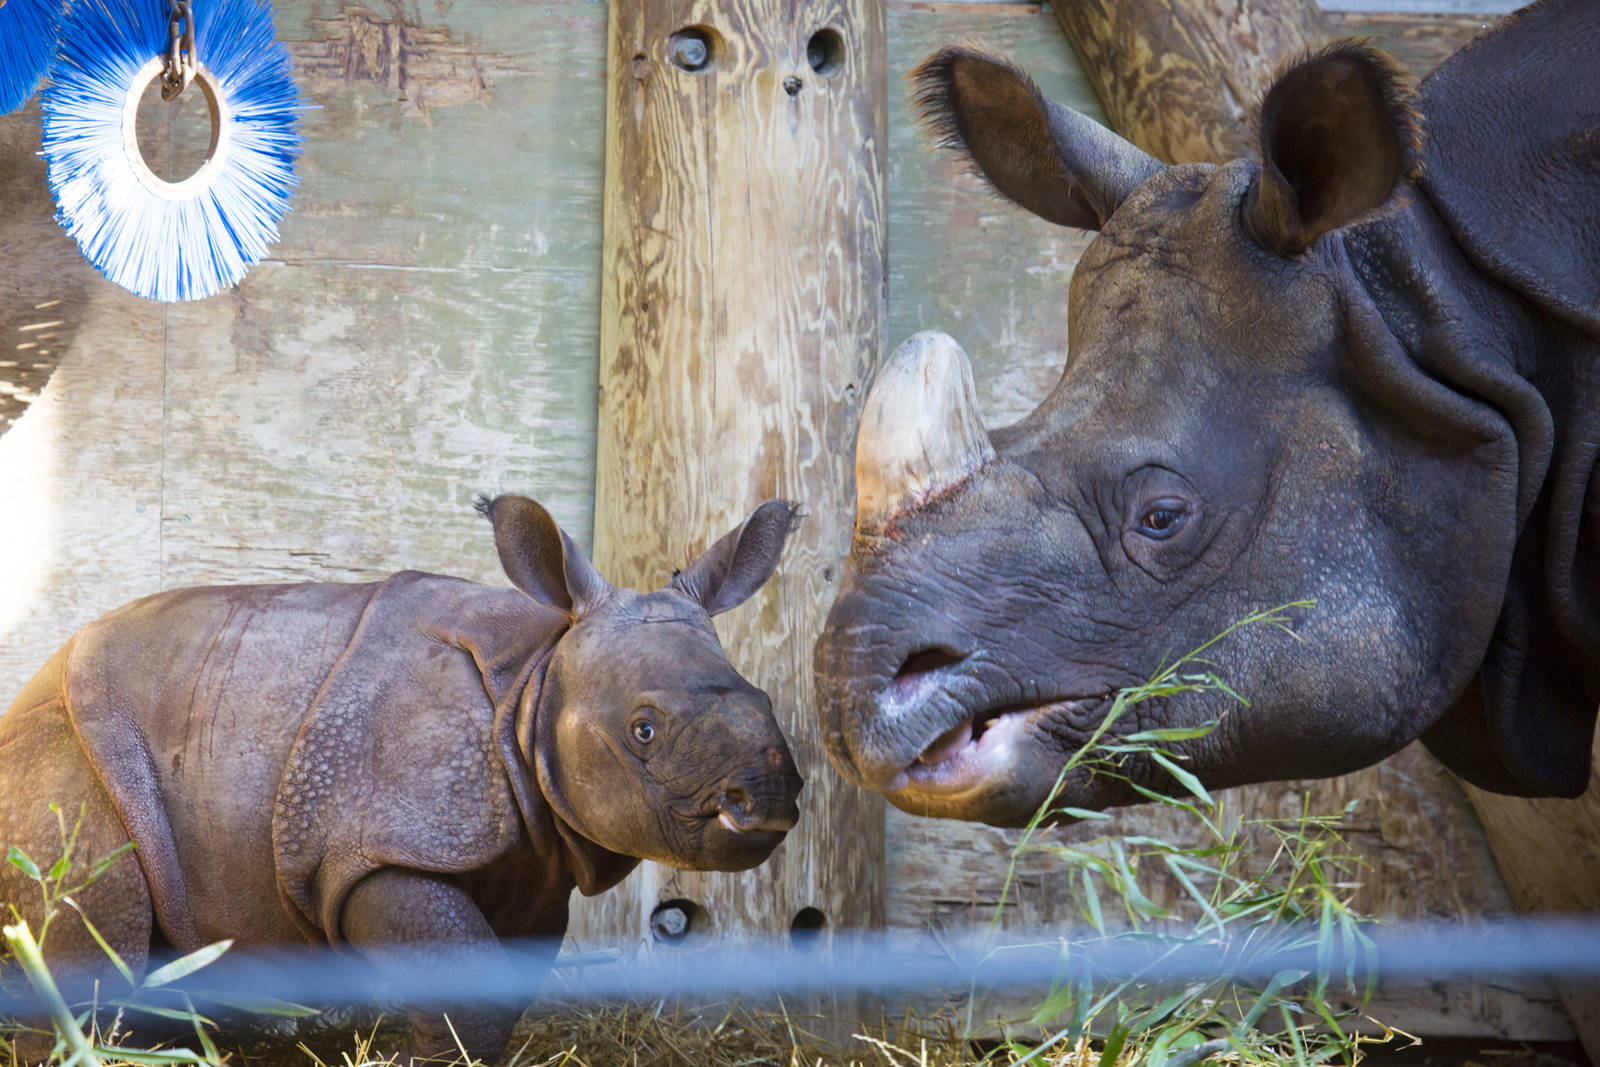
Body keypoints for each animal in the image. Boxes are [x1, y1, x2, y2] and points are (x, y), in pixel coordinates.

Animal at [0, 495, 803, 1062]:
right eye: (643, 730)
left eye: (768, 702)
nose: (764, 803)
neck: (537, 679)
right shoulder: (375, 846)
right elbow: (467, 980)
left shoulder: (533, 863)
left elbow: (497, 980)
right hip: (66, 752)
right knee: (94, 907)